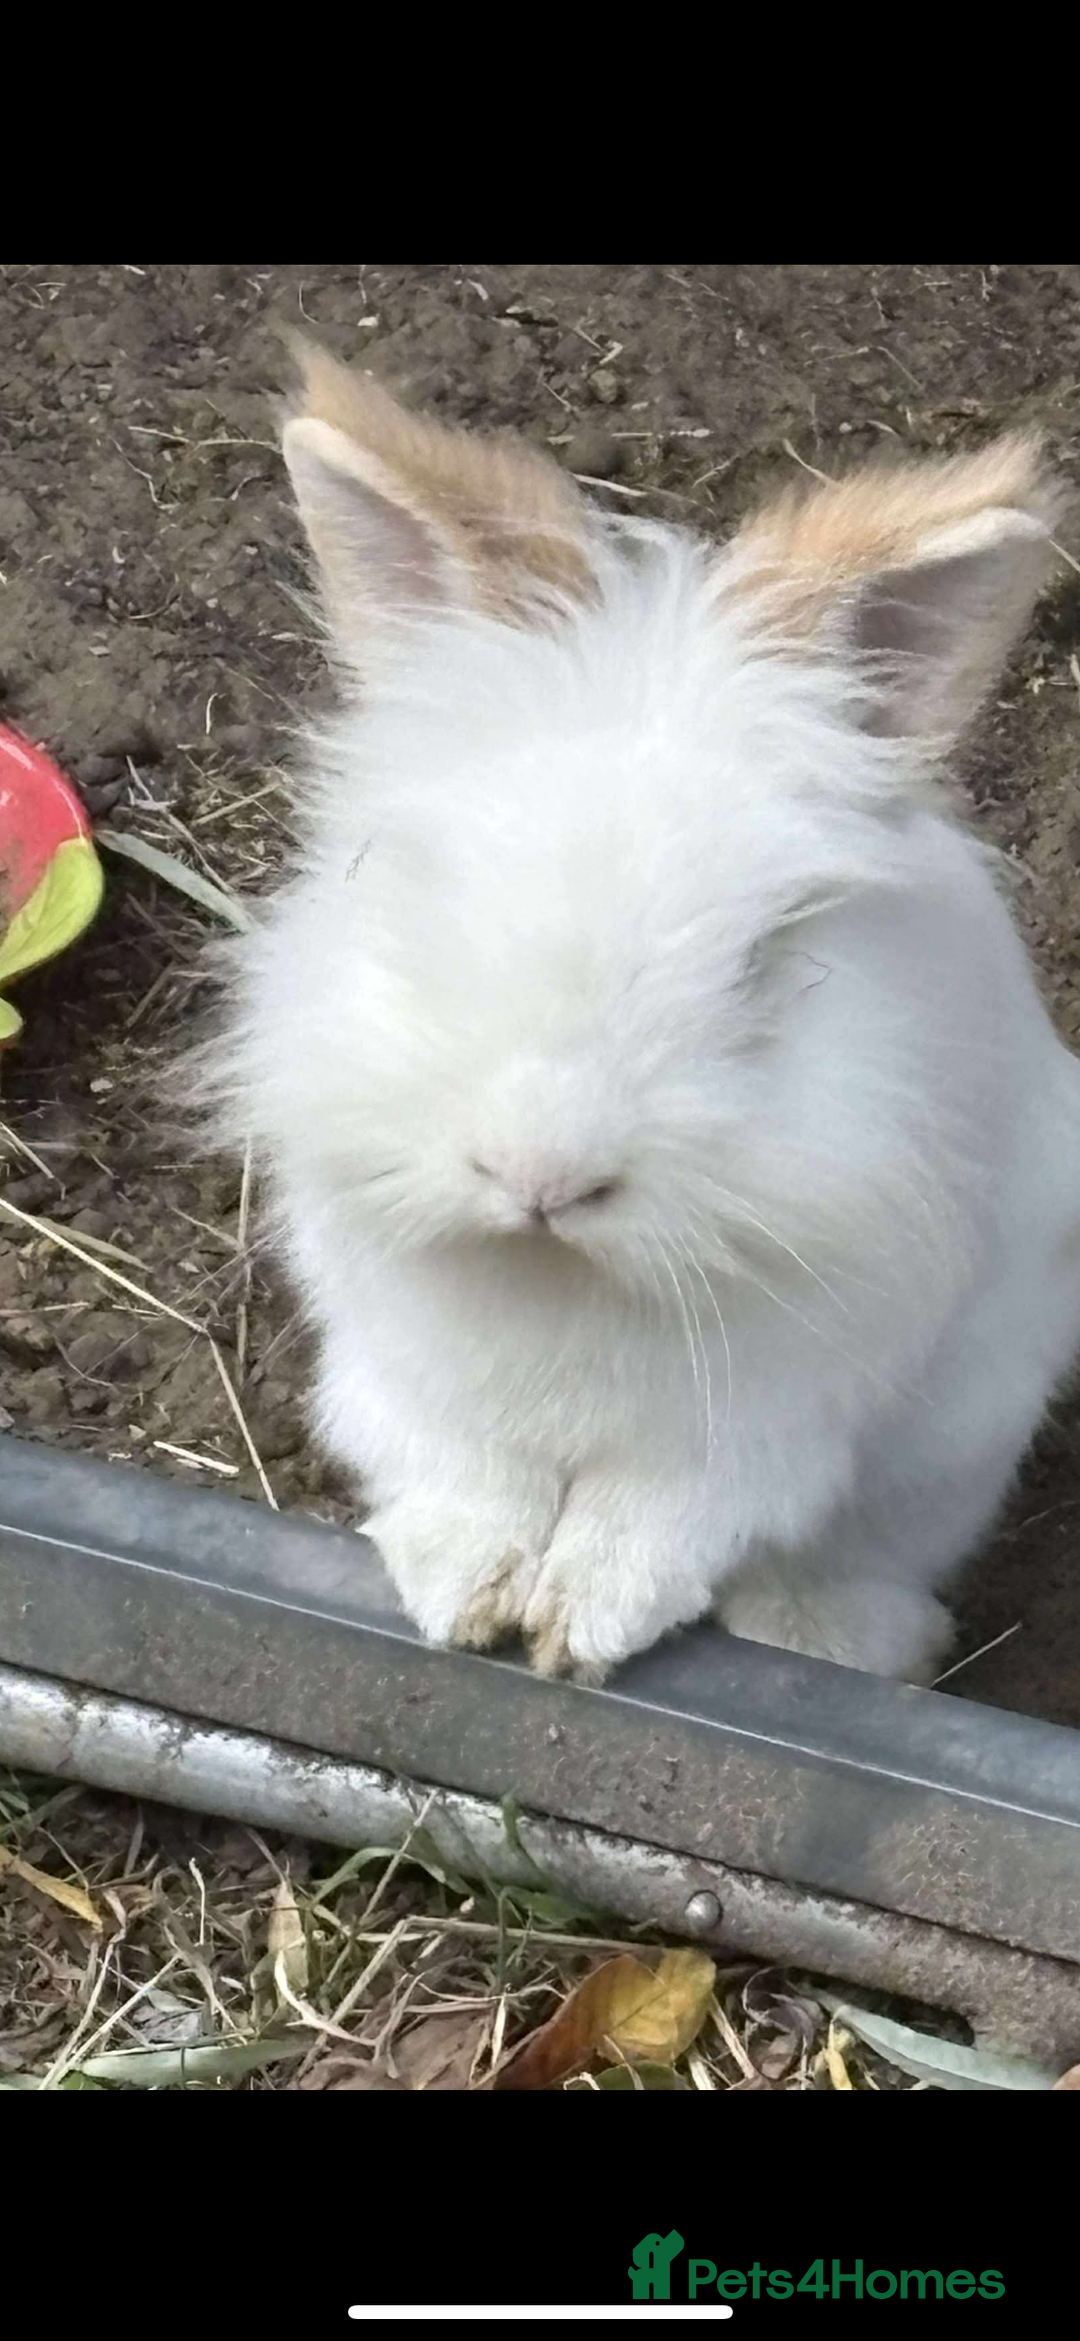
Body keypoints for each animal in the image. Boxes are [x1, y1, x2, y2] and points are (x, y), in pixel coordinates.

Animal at [201, 341, 1080, 1685]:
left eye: (763, 962)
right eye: (420, 886)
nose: (542, 1176)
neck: (563, 1275)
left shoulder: (762, 1417)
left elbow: (660, 1521)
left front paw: (582, 1627)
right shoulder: (410, 1364)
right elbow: (475, 1481)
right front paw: (462, 1598)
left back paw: (829, 1639)